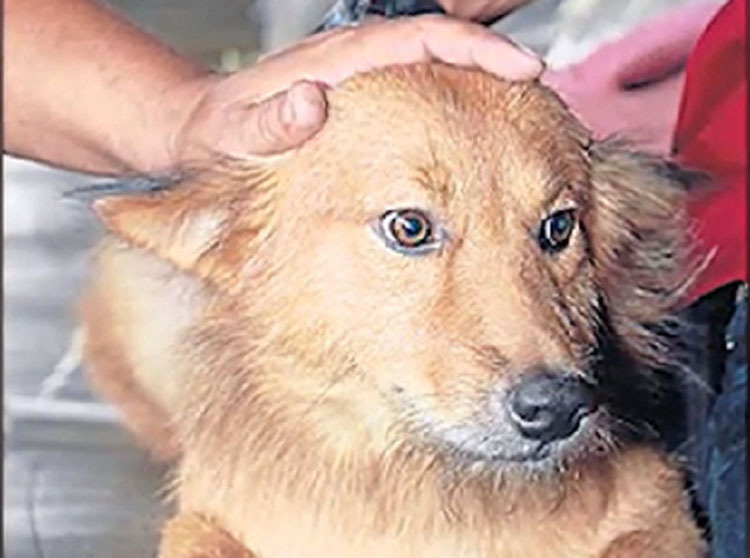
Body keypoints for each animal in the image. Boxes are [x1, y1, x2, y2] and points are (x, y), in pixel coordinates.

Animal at [79, 63, 708, 556]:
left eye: (558, 228)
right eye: (409, 227)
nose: (557, 408)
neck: (418, 486)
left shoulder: (660, 505)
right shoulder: (205, 516)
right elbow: (199, 539)